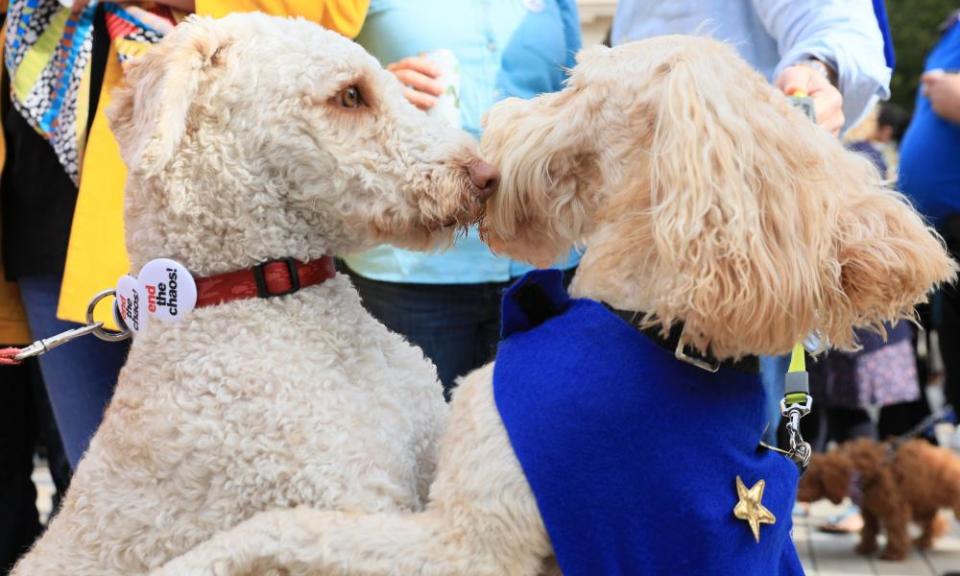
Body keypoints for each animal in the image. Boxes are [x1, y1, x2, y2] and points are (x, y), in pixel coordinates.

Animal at [796, 438, 960, 560]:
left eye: (806, 480)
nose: (795, 494)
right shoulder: (869, 510)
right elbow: (869, 528)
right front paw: (865, 548)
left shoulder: (894, 508)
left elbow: (895, 530)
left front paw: (893, 554)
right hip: (924, 503)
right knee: (933, 523)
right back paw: (924, 542)